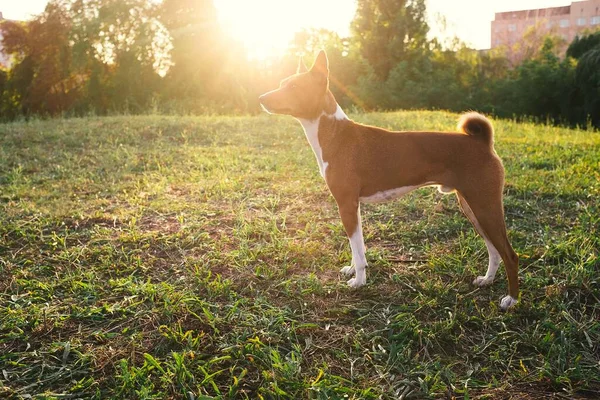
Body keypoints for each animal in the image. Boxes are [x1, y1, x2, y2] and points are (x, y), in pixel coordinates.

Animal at [258, 50, 520, 310]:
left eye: (293, 86)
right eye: (282, 83)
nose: (261, 97)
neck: (335, 134)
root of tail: (482, 142)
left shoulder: (346, 204)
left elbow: (357, 249)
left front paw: (359, 281)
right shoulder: (353, 207)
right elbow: (357, 248)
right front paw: (353, 270)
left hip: (485, 206)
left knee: (509, 254)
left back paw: (511, 299)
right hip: (472, 208)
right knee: (494, 249)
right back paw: (487, 279)